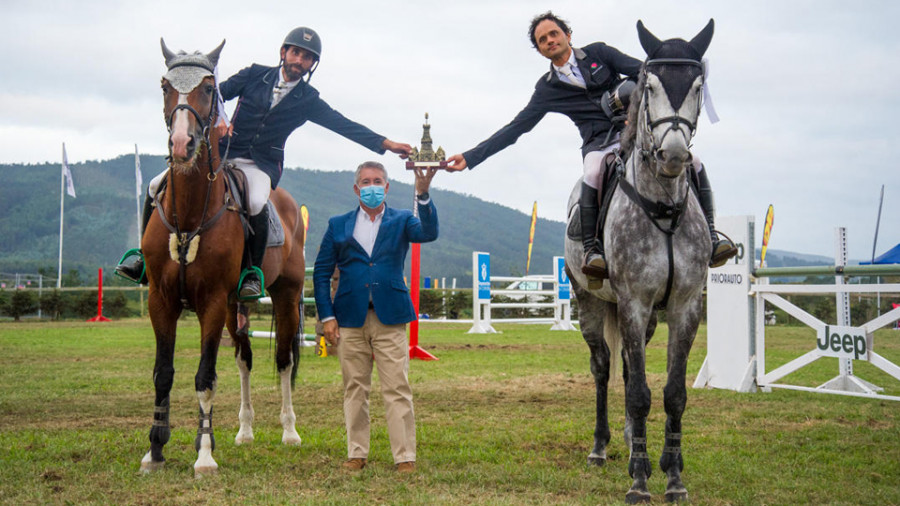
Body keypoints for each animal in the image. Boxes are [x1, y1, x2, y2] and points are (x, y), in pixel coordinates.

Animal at [141, 40, 308, 478]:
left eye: (208, 87)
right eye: (165, 86)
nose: (182, 145)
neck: (189, 213)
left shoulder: (213, 302)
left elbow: (205, 377)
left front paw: (203, 454)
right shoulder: (160, 300)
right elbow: (163, 374)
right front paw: (155, 449)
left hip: (285, 295)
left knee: (284, 360)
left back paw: (289, 432)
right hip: (237, 305)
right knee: (245, 359)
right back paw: (245, 431)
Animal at [564, 18, 716, 502]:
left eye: (698, 87)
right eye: (649, 86)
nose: (674, 155)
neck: (663, 203)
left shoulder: (684, 306)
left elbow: (671, 393)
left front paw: (673, 477)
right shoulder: (631, 302)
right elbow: (637, 394)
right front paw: (640, 482)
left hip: (648, 319)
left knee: (632, 369)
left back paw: (634, 441)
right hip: (592, 304)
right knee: (603, 369)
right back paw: (601, 447)